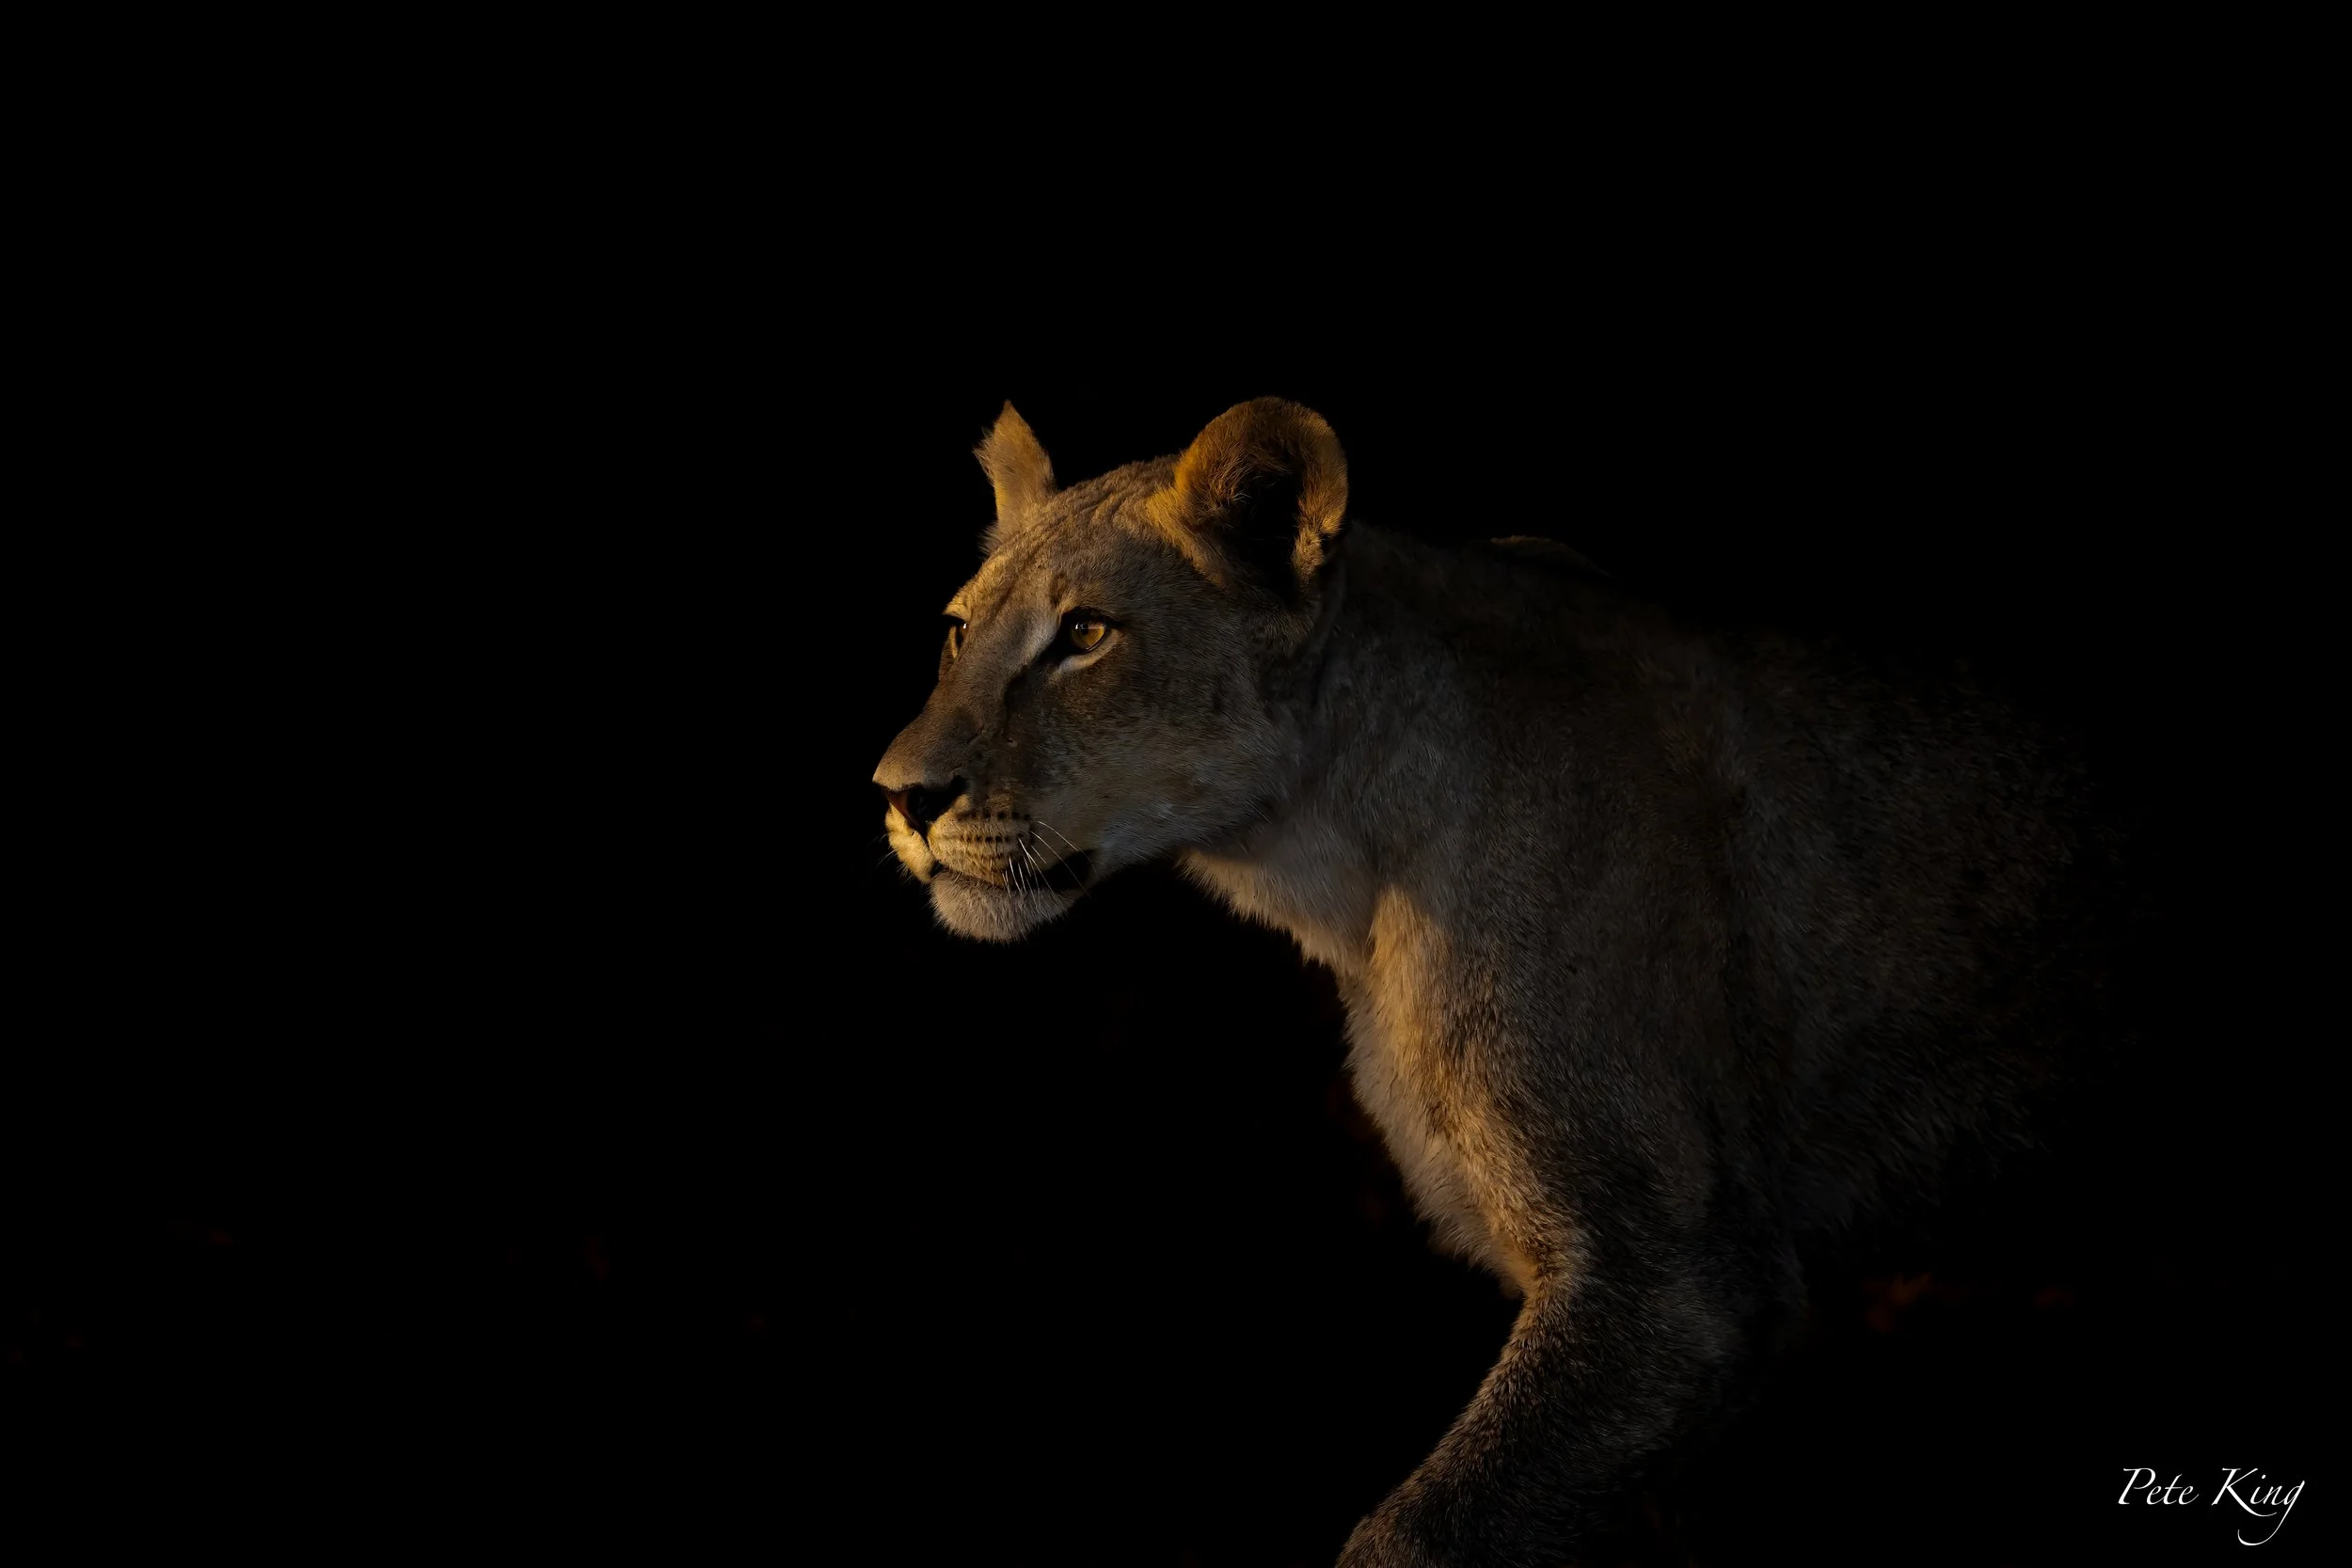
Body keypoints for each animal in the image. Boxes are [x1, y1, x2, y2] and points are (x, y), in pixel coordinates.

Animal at [873, 399, 2123, 1565]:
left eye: (1084, 633)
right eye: (956, 630)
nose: (900, 795)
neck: (1341, 870)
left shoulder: (1675, 1278)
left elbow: (1419, 1532)